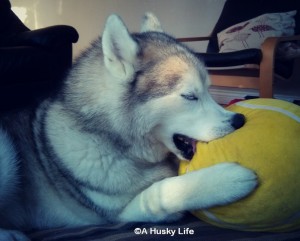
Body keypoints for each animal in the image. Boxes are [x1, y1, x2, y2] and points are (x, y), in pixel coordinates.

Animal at [0, 13, 258, 241]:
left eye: (208, 90)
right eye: (190, 96)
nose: (238, 121)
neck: (112, 140)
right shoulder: (120, 215)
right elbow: (159, 194)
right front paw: (226, 180)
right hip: (7, 155)